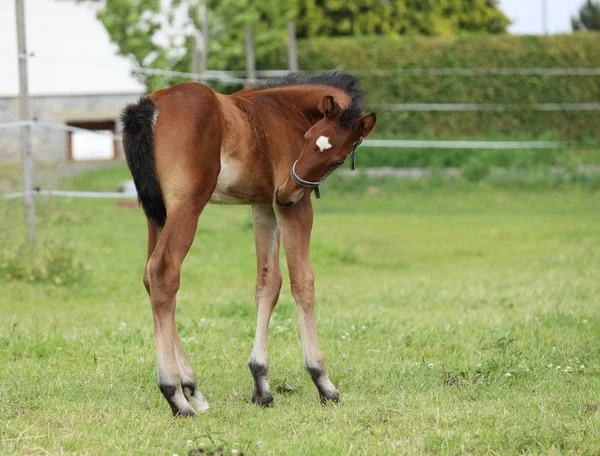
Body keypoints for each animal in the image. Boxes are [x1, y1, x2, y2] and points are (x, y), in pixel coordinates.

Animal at [120, 71, 376, 416]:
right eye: (307, 138)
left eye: (336, 158)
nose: (286, 190)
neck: (286, 110)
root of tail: (148, 107)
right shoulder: (294, 208)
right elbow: (302, 282)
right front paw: (323, 382)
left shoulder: (264, 206)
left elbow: (268, 283)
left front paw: (261, 385)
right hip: (187, 205)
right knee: (163, 273)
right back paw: (175, 395)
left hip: (155, 212)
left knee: (150, 277)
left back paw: (192, 389)